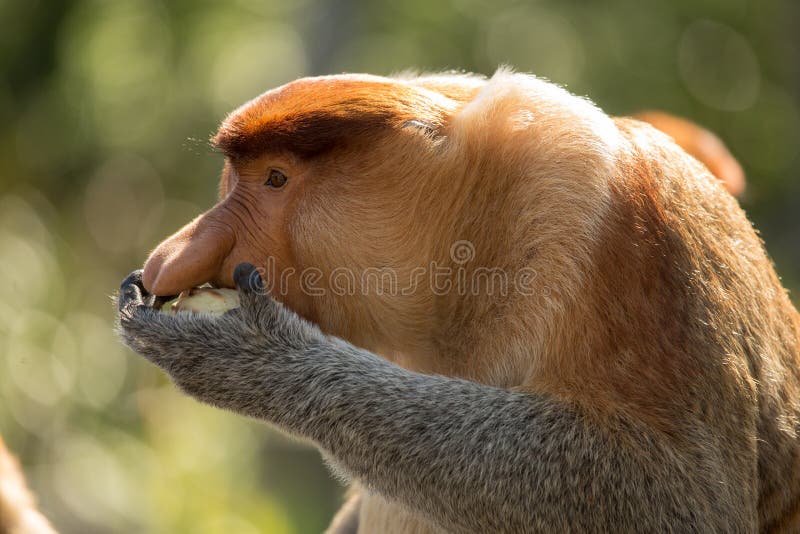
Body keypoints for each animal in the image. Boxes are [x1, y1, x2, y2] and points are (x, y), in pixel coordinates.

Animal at [117, 70, 800, 533]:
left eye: (275, 180)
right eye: (236, 177)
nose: (167, 259)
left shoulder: (629, 231)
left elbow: (676, 495)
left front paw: (252, 359)